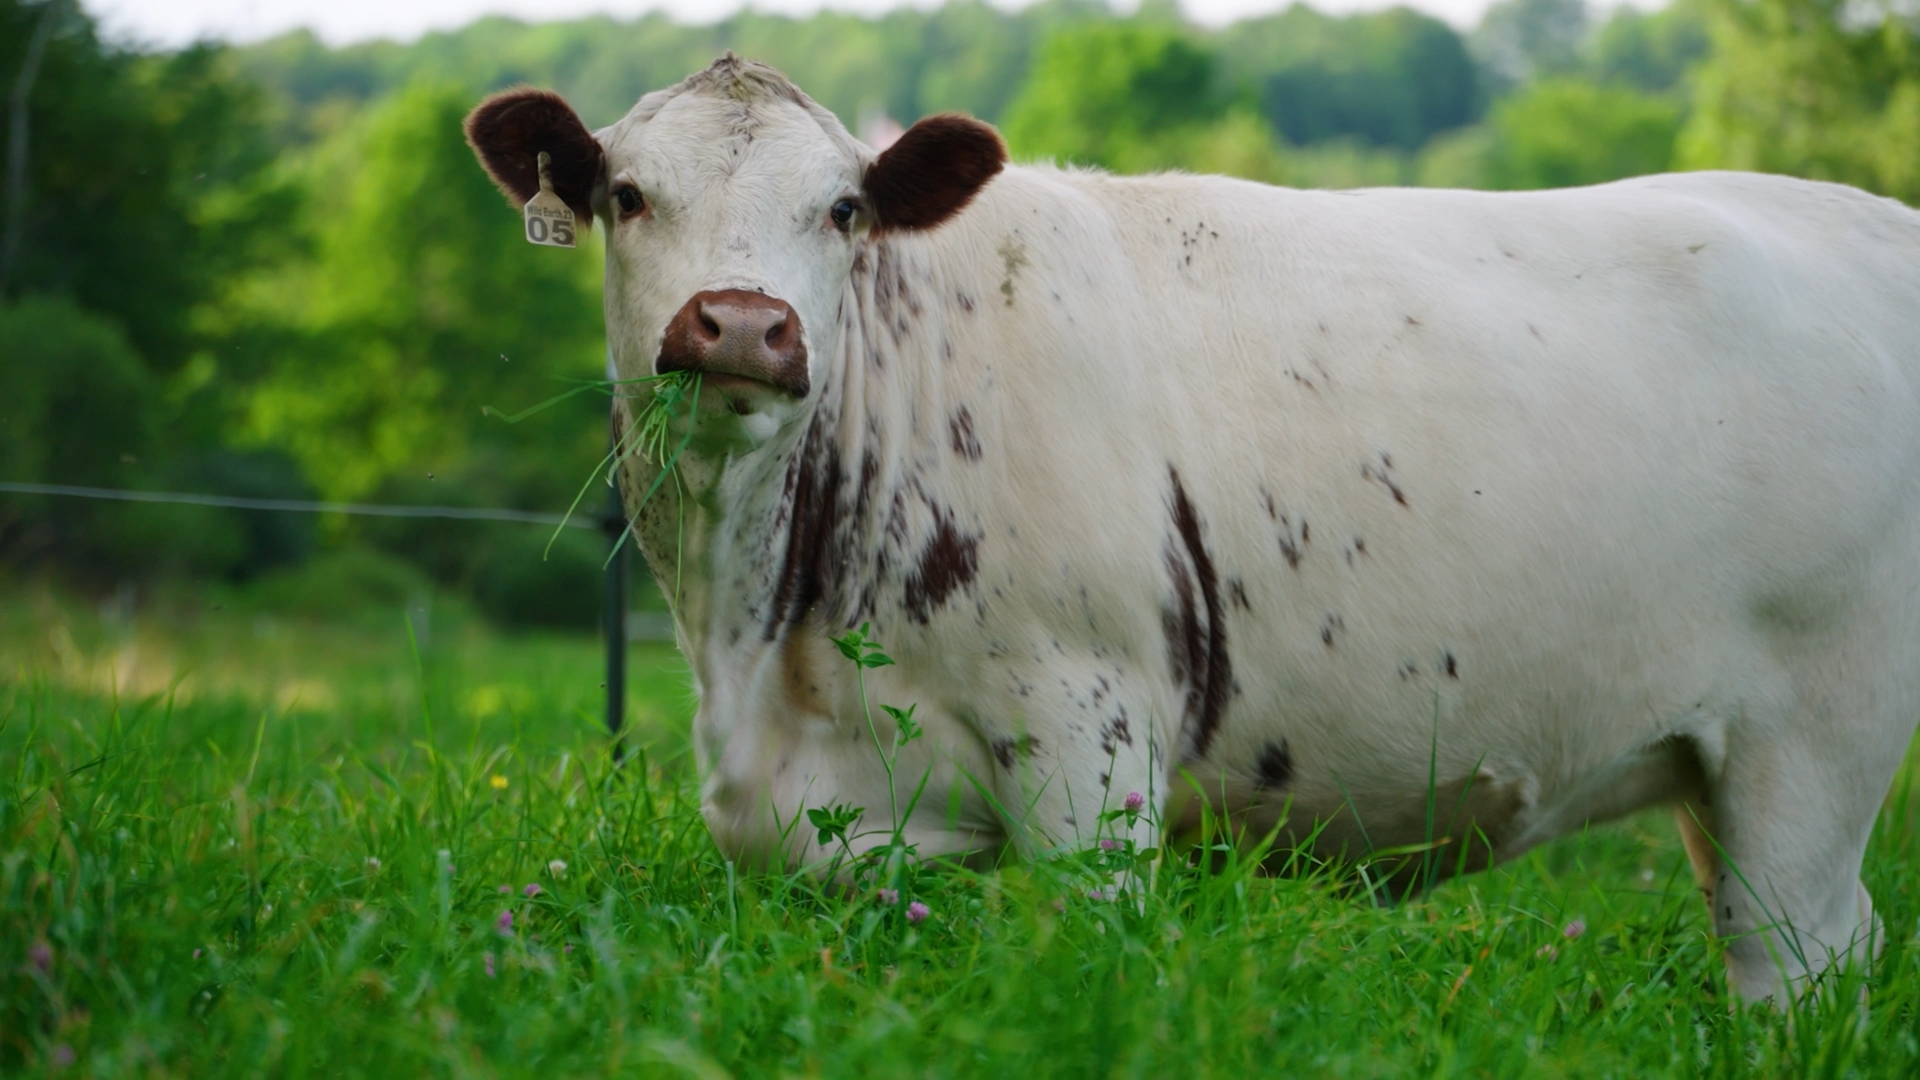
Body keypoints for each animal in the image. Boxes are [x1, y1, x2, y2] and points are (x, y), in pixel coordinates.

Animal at [466, 55, 1920, 1000]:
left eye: (844, 209)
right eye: (627, 195)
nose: (743, 325)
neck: (759, 629)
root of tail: (1860, 212)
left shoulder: (1087, 740)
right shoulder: (842, 825)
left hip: (1816, 745)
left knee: (1798, 962)